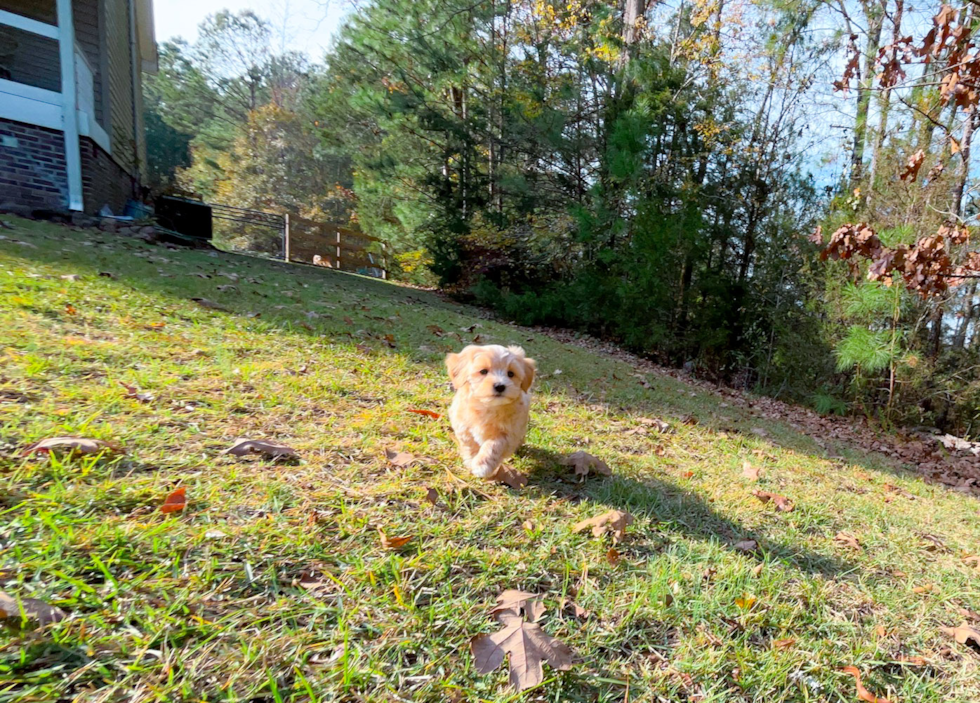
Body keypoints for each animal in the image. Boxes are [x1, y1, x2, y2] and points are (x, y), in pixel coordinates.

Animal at [444, 346, 536, 478]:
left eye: (511, 373)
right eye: (483, 371)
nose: (500, 386)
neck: (487, 406)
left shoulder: (509, 433)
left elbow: (494, 445)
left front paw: (482, 465)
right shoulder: (462, 424)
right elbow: (469, 443)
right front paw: (472, 459)